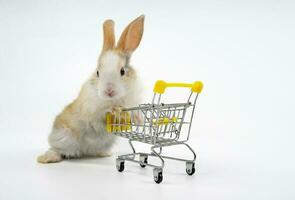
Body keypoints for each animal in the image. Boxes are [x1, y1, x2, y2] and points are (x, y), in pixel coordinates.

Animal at [37, 14, 146, 163]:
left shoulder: (134, 101)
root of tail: (84, 151)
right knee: (56, 149)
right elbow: (101, 113)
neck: (116, 99)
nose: (109, 91)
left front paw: (139, 119)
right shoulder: (92, 109)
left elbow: (134, 113)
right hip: (63, 137)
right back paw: (46, 158)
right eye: (98, 72)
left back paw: (104, 154)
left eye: (122, 71)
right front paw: (113, 109)